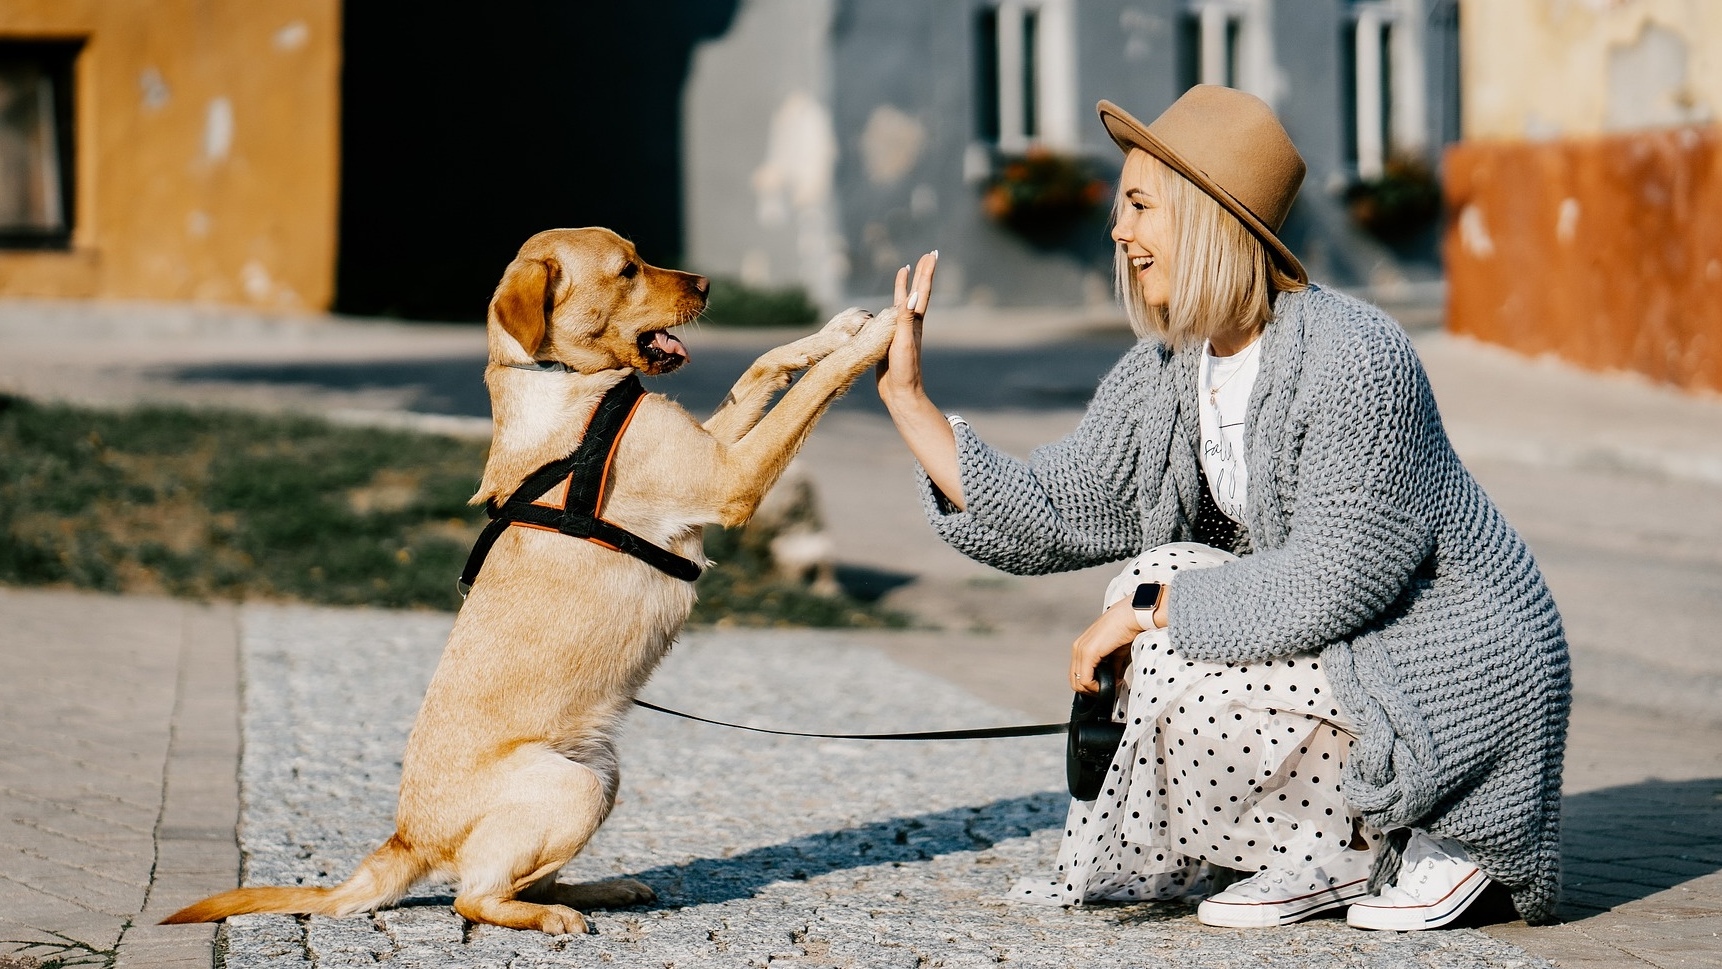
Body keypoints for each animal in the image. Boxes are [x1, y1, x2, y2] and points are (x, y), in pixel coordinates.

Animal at [164, 230, 902, 936]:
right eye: (627, 269)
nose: (707, 283)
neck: (565, 384)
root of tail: (406, 839)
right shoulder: (731, 479)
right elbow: (810, 391)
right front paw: (883, 333)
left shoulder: (714, 448)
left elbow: (763, 367)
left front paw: (839, 327)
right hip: (572, 788)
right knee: (473, 897)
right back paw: (552, 916)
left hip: (601, 774)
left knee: (523, 880)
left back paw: (601, 889)